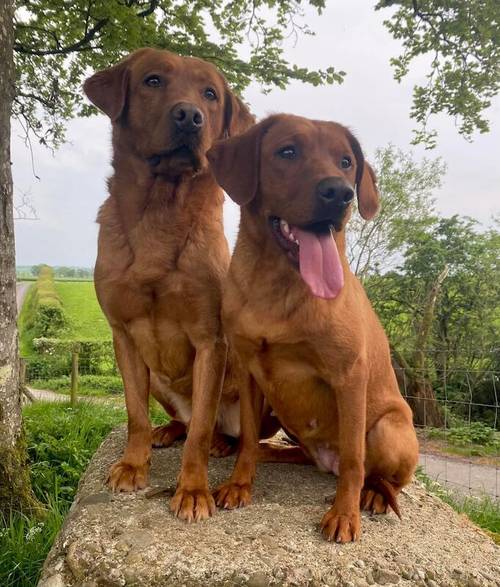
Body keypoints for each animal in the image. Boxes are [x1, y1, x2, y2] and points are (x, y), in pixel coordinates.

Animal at [206, 112, 418, 544]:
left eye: (346, 162)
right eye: (287, 152)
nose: (340, 194)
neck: (278, 286)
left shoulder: (349, 376)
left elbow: (354, 458)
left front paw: (344, 513)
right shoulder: (248, 370)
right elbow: (248, 437)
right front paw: (239, 483)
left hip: (389, 428)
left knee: (382, 476)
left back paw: (372, 494)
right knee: (291, 452)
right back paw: (267, 452)